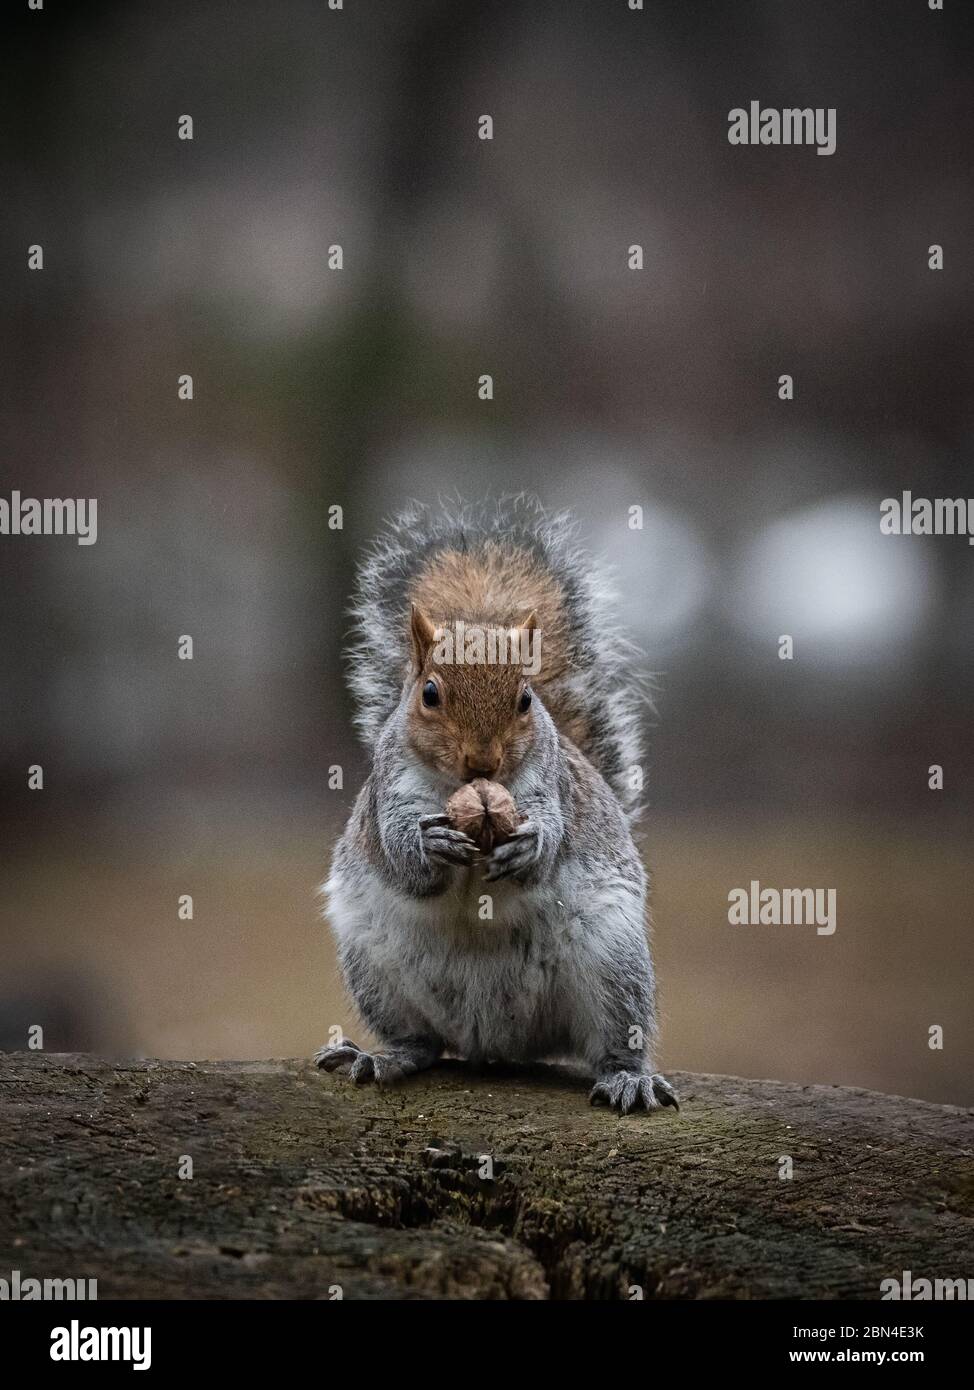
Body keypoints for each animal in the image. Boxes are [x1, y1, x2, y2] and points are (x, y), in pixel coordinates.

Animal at [316, 496, 678, 1115]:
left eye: (526, 698)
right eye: (429, 693)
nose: (483, 761)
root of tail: (496, 1043)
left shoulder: (549, 788)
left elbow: (550, 837)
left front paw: (529, 846)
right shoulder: (390, 792)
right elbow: (401, 859)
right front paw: (429, 843)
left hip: (612, 963)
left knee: (614, 1040)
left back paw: (628, 1077)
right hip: (376, 970)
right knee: (422, 1041)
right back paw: (384, 1057)